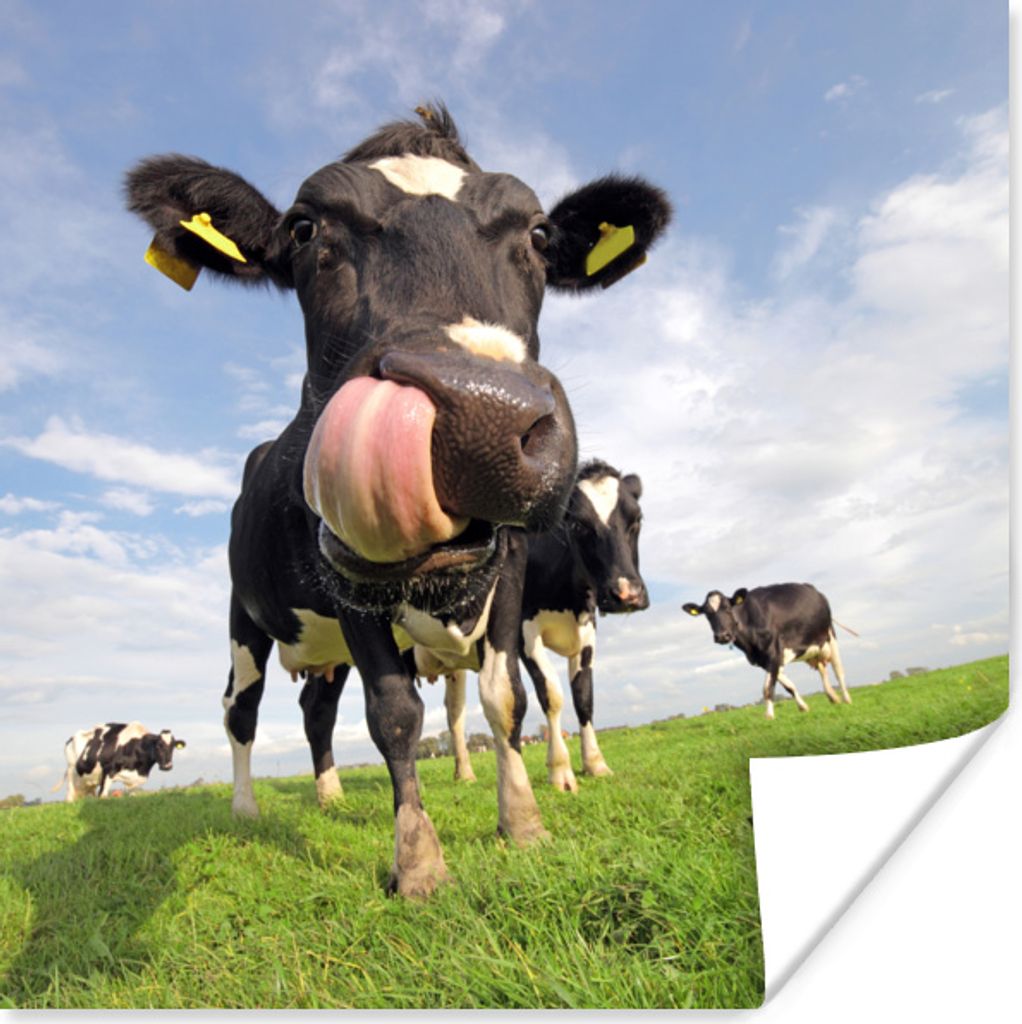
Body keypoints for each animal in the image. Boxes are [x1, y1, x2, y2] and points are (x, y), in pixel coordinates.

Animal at [53, 722, 186, 802]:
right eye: (158, 746)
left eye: (173, 747)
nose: (167, 766)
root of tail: (71, 738)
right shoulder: (108, 770)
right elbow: (103, 795)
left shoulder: (134, 781)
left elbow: (133, 795)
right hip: (71, 773)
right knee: (69, 797)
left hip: (88, 782)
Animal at [427, 460, 647, 791]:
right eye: (577, 525)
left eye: (637, 520)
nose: (627, 594)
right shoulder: (523, 633)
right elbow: (551, 694)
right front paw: (560, 770)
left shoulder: (587, 633)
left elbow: (584, 697)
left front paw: (595, 763)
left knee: (455, 713)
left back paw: (463, 773)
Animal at [682, 583, 852, 719]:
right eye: (707, 614)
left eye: (728, 608)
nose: (722, 636)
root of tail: (814, 590)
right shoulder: (765, 659)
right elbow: (788, 686)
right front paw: (803, 707)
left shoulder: (773, 652)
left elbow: (767, 688)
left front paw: (769, 715)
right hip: (814, 649)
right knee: (822, 669)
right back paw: (833, 697)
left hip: (830, 636)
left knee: (839, 672)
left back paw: (846, 699)